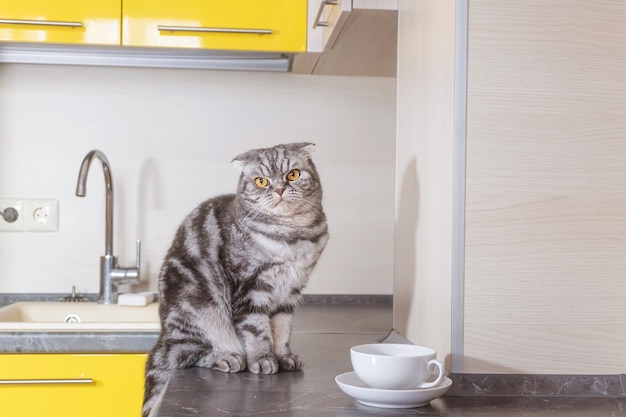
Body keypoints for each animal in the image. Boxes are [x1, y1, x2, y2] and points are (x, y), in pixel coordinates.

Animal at [140, 141, 326, 414]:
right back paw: (227, 357)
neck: (292, 236)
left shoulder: (290, 291)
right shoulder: (249, 286)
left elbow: (282, 330)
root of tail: (164, 335)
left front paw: (283, 357)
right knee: (186, 354)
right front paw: (263, 360)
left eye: (293, 174)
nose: (279, 189)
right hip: (199, 307)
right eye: (261, 181)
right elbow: (257, 330)